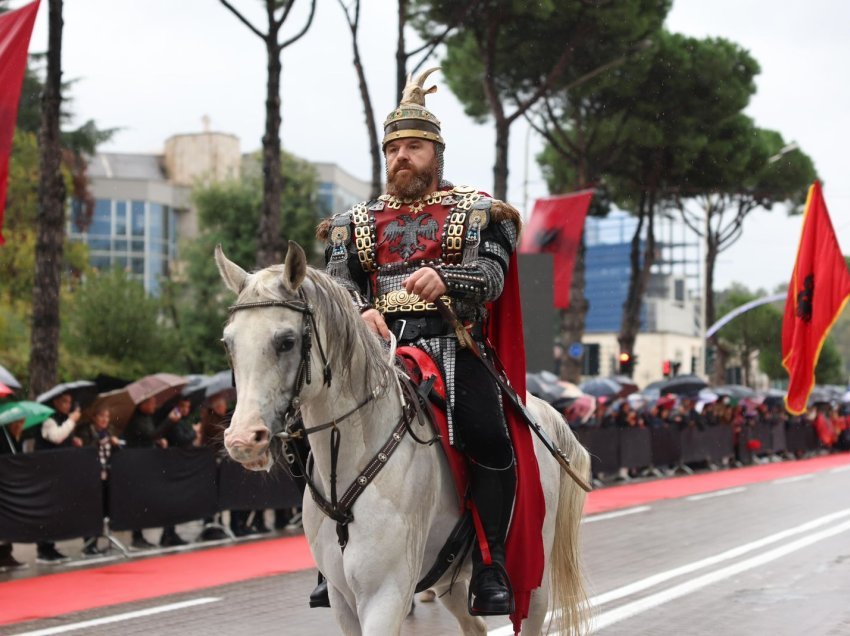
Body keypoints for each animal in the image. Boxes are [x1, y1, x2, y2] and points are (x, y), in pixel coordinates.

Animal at [215, 241, 588, 632]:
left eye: (286, 341)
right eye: (228, 343)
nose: (243, 440)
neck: (350, 461)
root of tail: (538, 406)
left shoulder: (385, 595)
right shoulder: (343, 599)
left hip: (534, 576)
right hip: (448, 579)